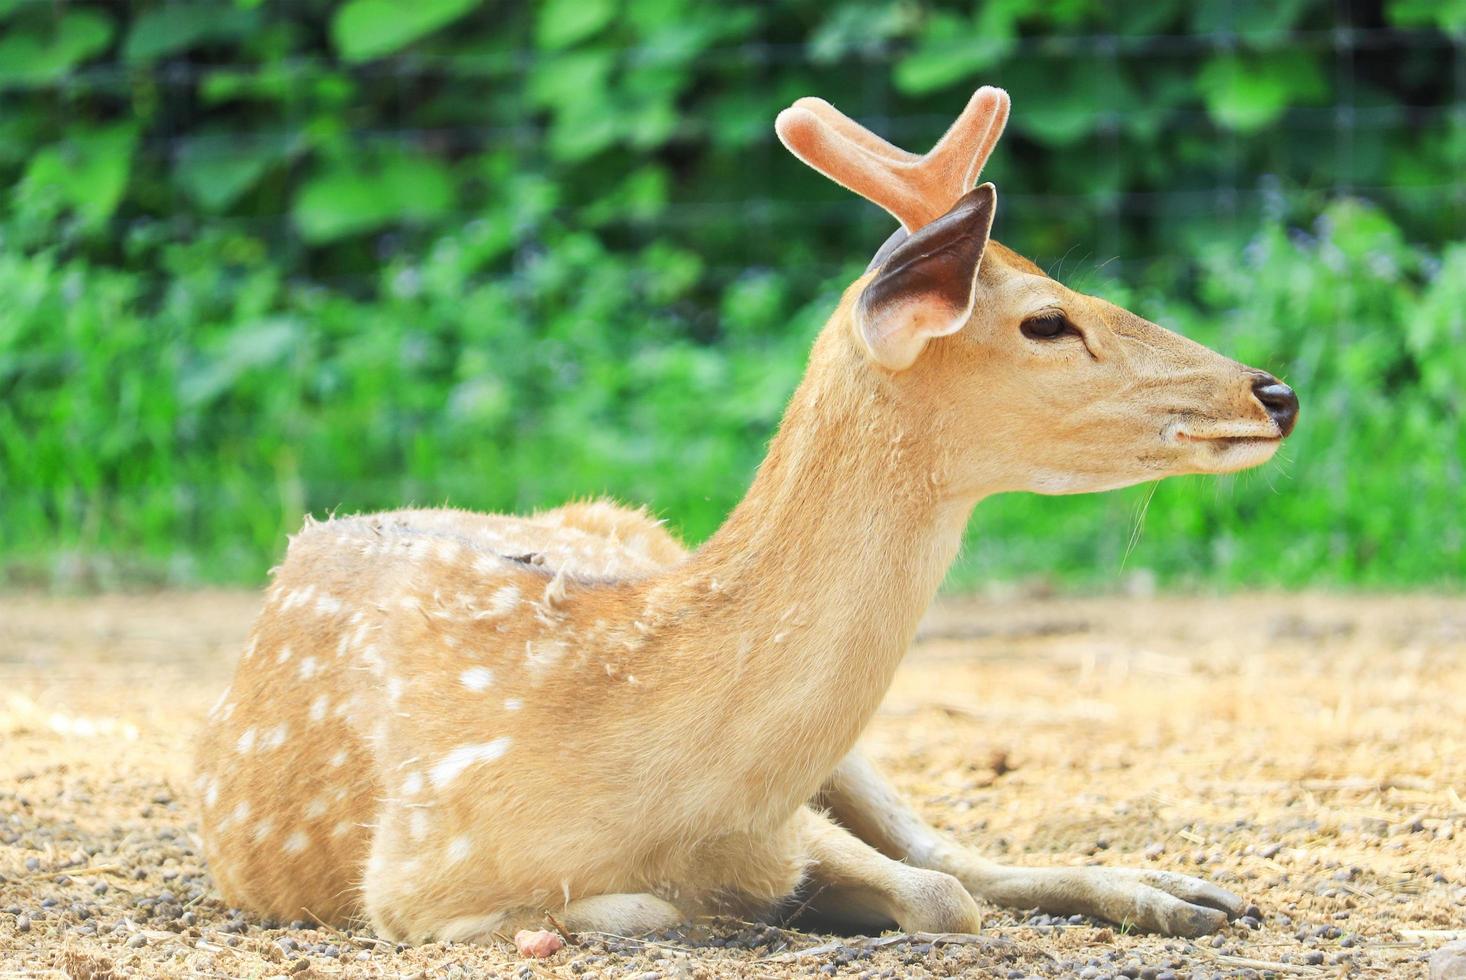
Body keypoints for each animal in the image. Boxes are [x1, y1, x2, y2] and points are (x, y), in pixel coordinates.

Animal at [192, 86, 1295, 950]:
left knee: (950, 850)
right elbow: (664, 906)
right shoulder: (413, 880)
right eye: (1047, 320)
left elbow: (937, 887)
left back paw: (1189, 894)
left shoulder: (776, 814)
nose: (1272, 390)